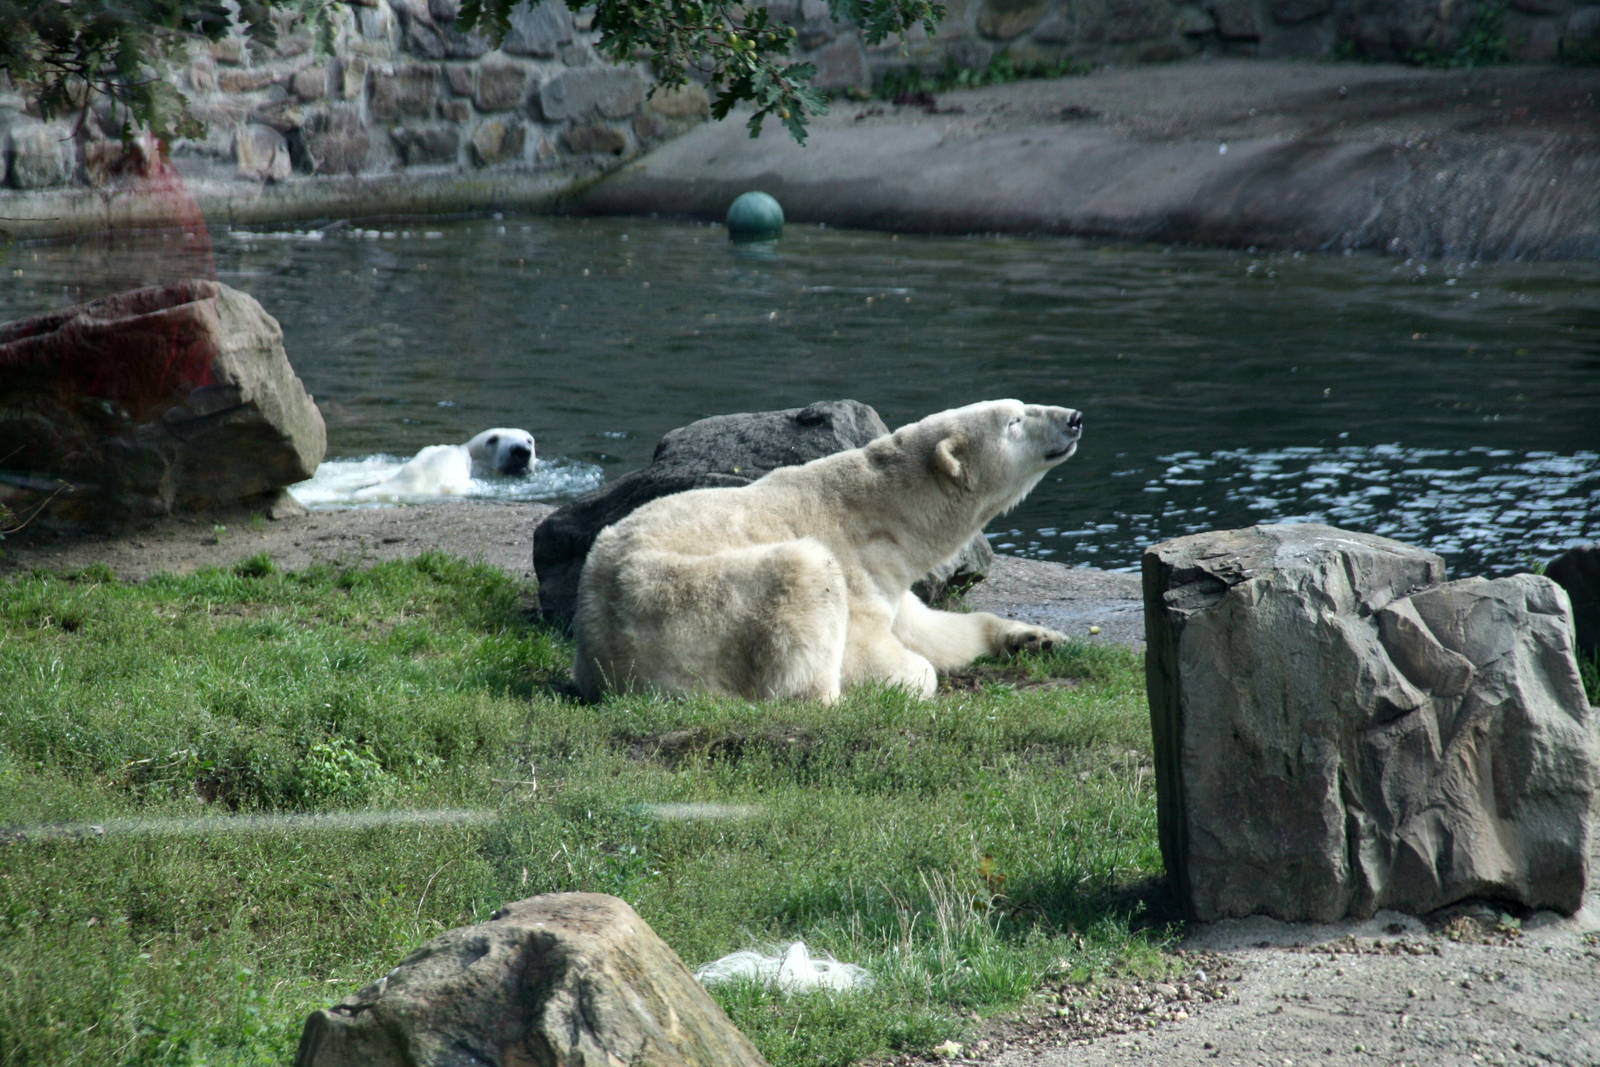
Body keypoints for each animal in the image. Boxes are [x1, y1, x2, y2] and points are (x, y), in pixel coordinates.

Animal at [572, 400, 1083, 703]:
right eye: (1015, 421)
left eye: (1021, 406)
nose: (1074, 418)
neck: (885, 513)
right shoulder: (860, 564)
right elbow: (879, 655)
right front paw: (902, 679)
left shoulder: (890, 579)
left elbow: (933, 629)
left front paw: (1036, 636)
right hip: (687, 603)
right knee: (803, 574)